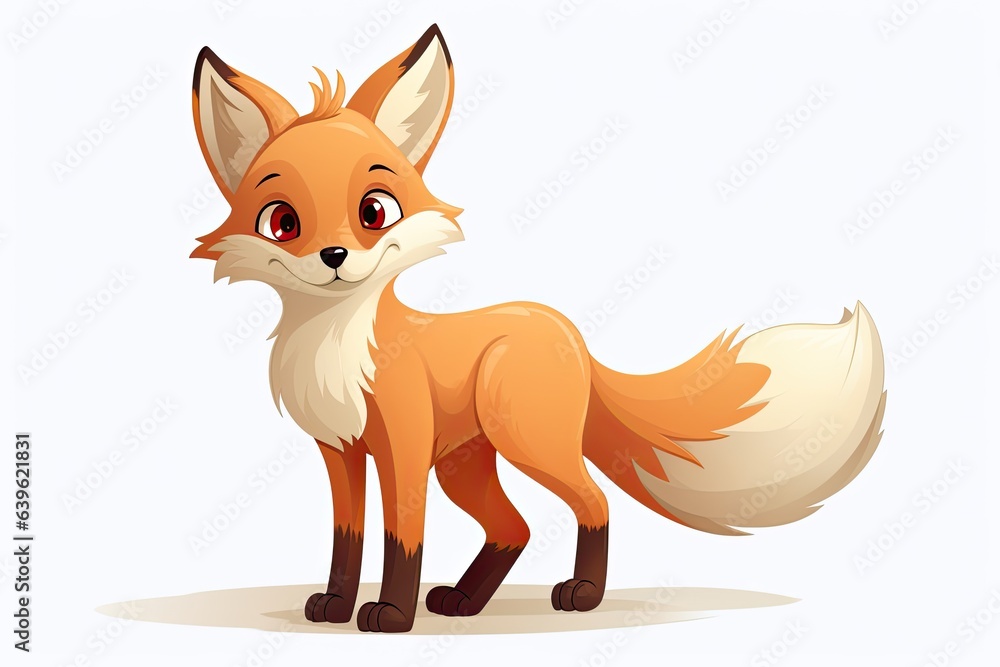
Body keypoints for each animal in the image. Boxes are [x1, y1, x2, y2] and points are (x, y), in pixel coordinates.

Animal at [189, 24, 887, 633]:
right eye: (281, 221)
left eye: (374, 211)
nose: (333, 257)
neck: (337, 344)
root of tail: (565, 327)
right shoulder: (340, 452)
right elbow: (347, 539)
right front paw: (336, 605)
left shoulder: (404, 450)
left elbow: (402, 540)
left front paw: (390, 615)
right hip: (467, 465)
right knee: (514, 527)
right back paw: (464, 601)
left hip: (525, 441)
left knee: (593, 503)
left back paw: (581, 595)